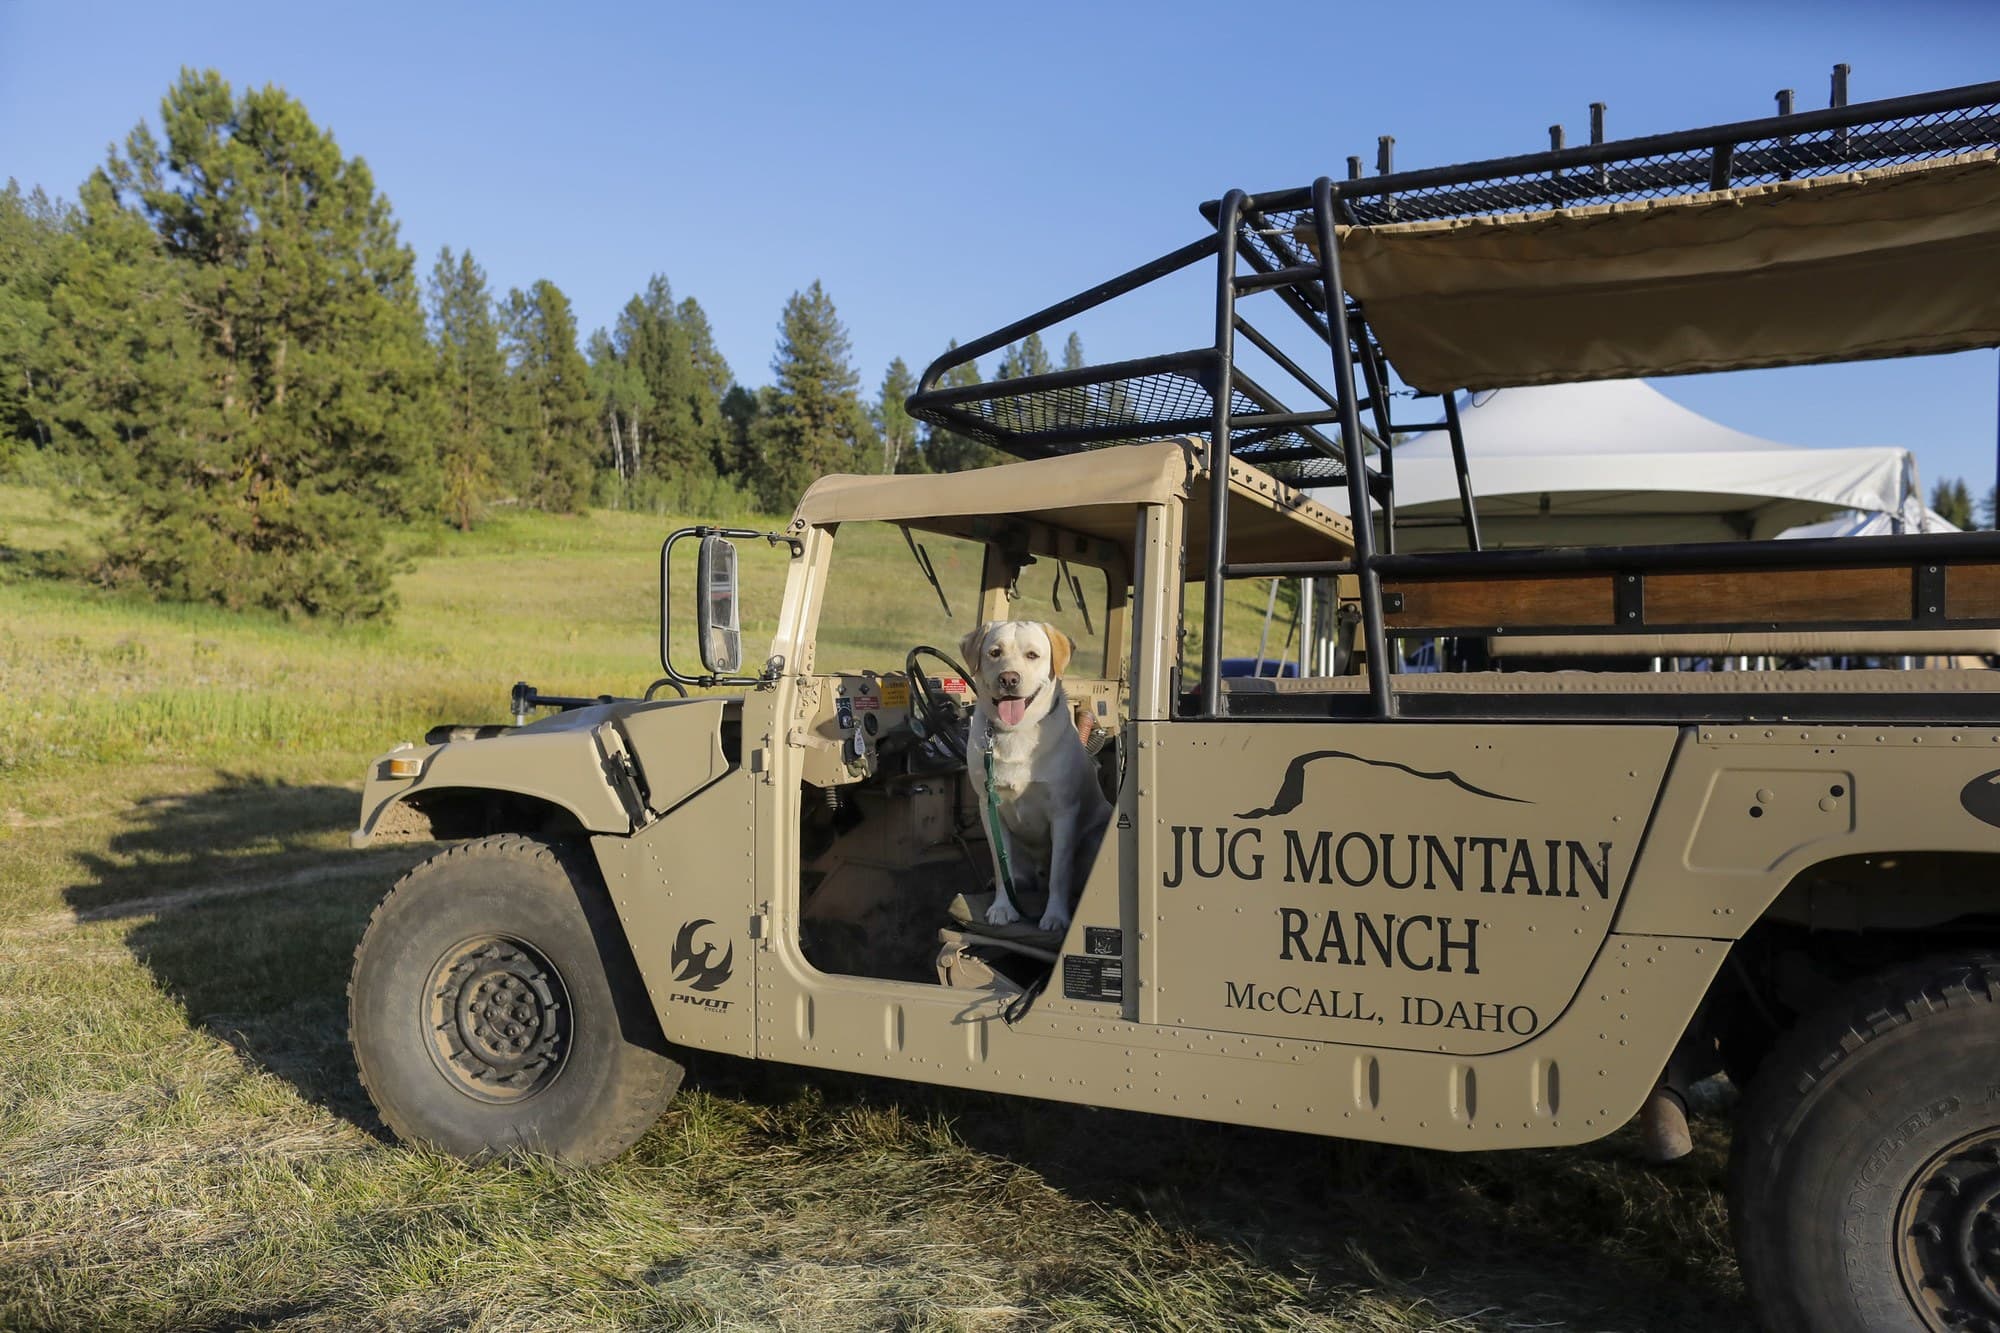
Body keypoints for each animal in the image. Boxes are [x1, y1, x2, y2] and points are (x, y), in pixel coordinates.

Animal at [960, 616, 1120, 928]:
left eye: (1032, 655)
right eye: (995, 653)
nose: (1009, 679)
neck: (1016, 732)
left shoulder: (1064, 811)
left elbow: (1060, 872)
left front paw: (1055, 916)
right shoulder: (989, 808)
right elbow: (1001, 866)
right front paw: (1003, 907)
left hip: (1094, 837)